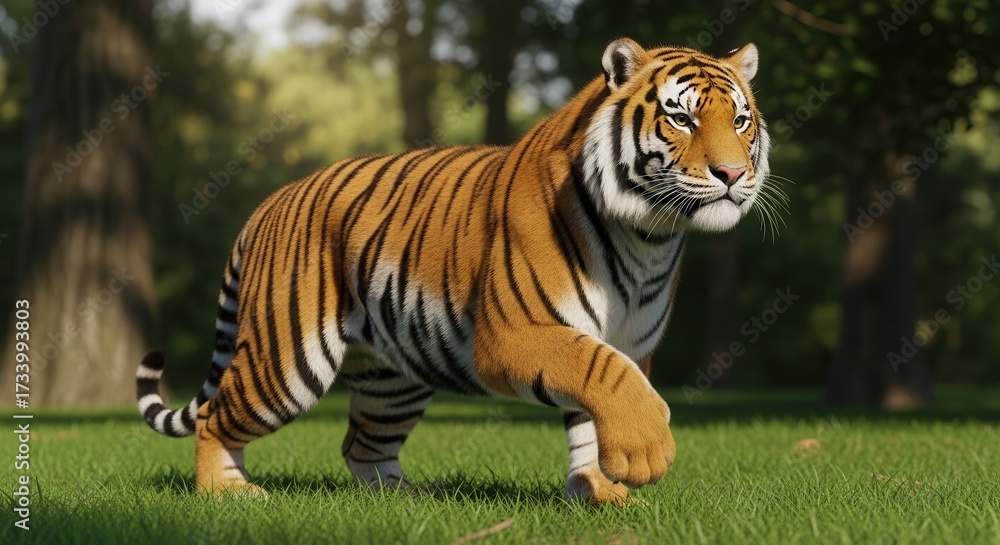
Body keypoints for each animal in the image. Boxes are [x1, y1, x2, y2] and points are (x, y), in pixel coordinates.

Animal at [136, 37, 771, 505]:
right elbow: (602, 373)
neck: (649, 237)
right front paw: (645, 452)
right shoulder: (514, 333)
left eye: (740, 120)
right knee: (216, 415)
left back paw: (407, 501)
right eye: (682, 119)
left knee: (362, 446)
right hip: (285, 359)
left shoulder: (629, 342)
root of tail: (268, 204)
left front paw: (600, 490)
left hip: (392, 379)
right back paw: (227, 492)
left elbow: (597, 407)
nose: (733, 174)